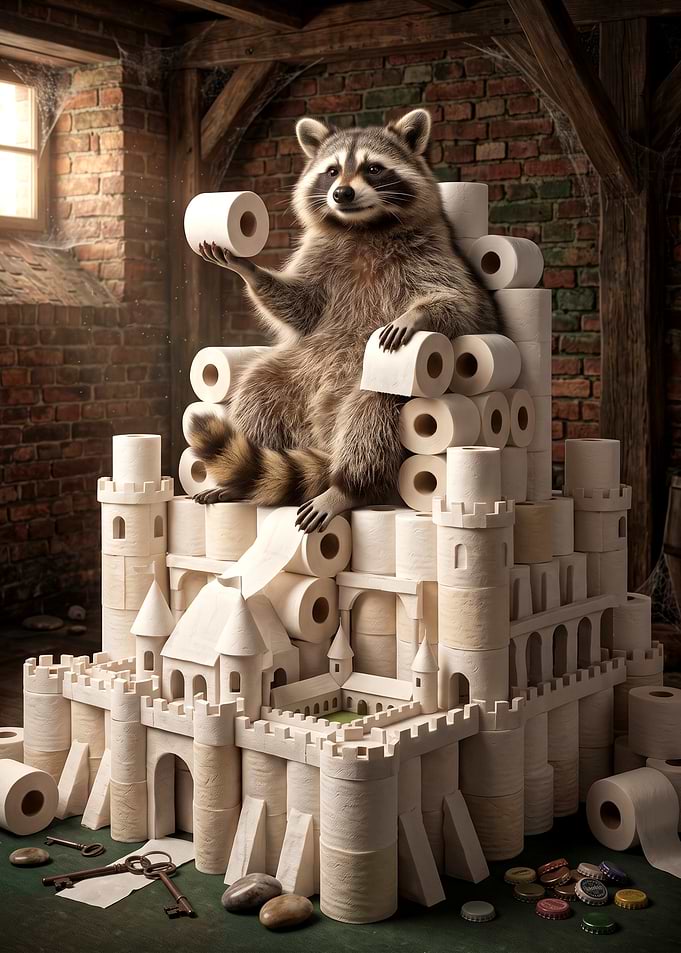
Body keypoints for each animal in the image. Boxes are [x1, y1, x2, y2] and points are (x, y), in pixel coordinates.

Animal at [190, 108, 499, 532]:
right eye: (332, 171)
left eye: (373, 168)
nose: (342, 194)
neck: (362, 228)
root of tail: (322, 439)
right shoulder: (318, 256)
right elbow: (301, 307)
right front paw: (249, 270)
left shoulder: (433, 251)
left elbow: (463, 304)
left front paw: (417, 314)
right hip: (300, 370)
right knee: (259, 387)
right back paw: (239, 474)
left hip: (376, 383)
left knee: (371, 416)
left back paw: (347, 487)